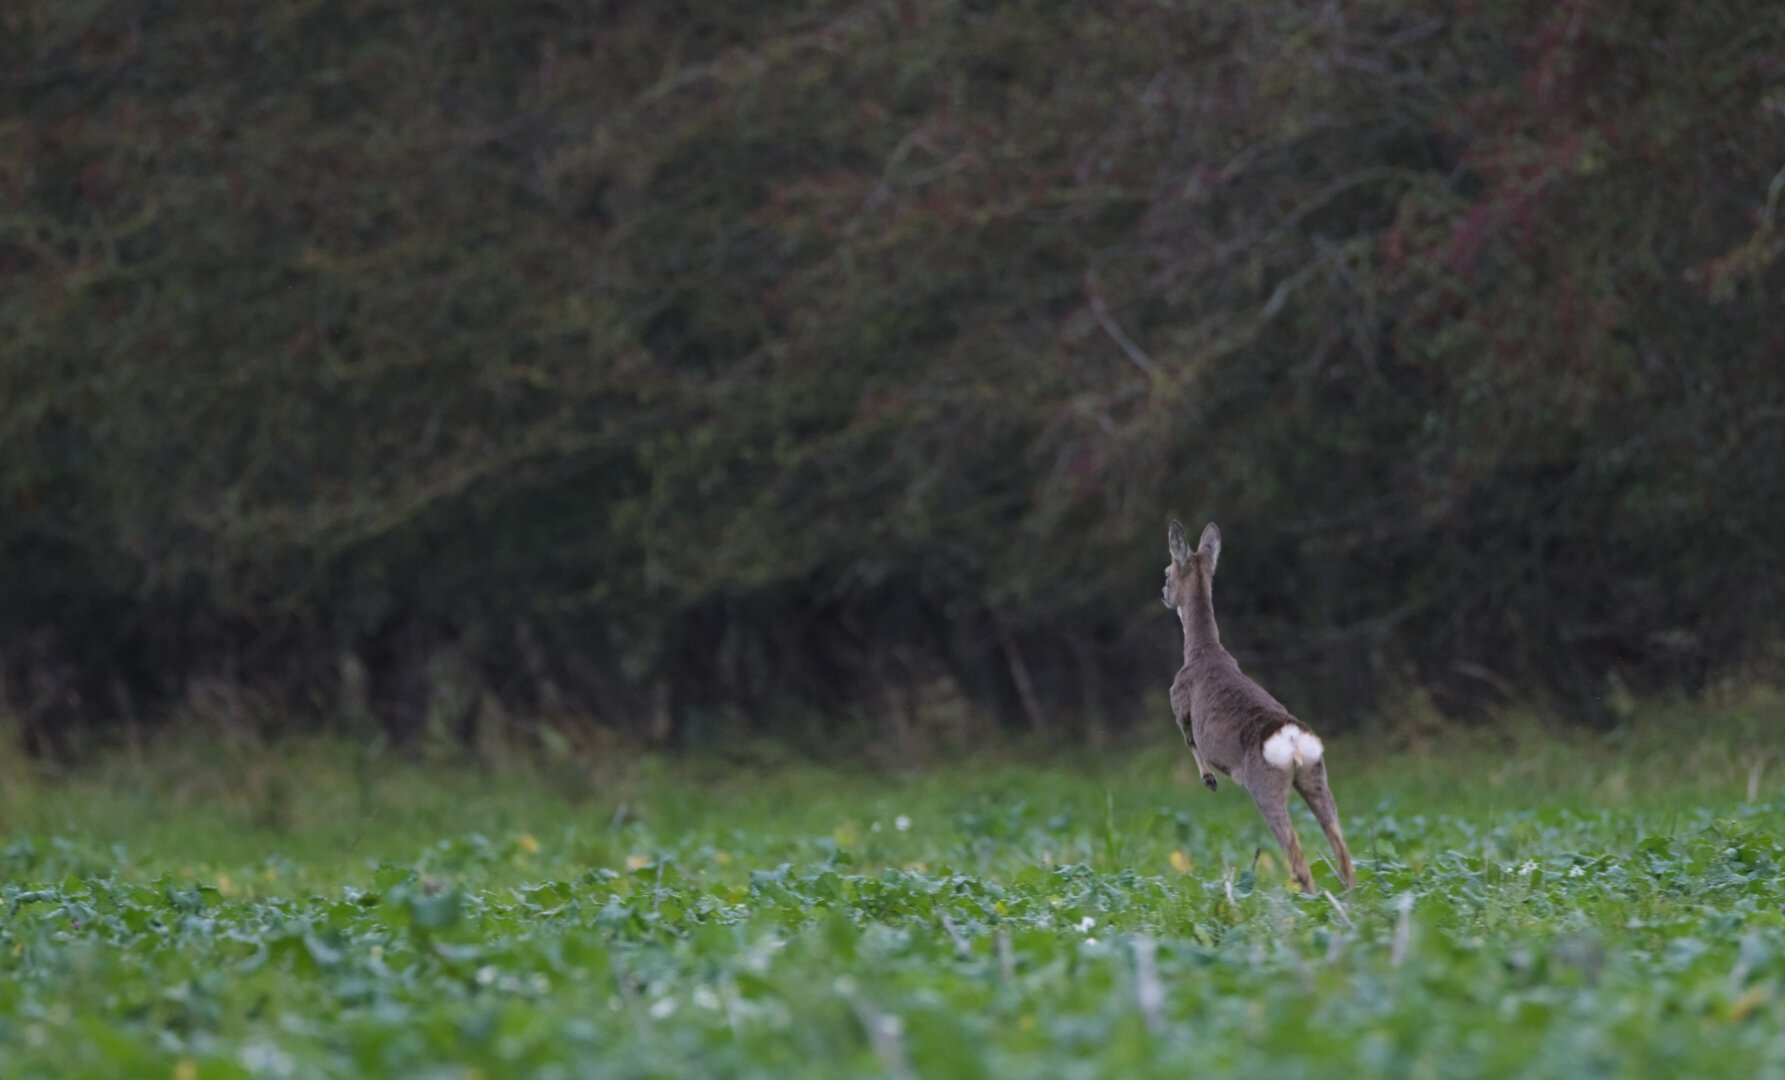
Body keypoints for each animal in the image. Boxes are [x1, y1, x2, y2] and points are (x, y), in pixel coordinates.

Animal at [1163, 517, 1356, 888]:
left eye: (1166, 573)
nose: (1162, 592)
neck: (1202, 650)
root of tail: (1292, 742)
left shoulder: (1179, 702)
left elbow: (1190, 740)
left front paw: (1209, 779)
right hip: (1315, 776)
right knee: (1342, 849)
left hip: (1265, 785)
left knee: (1298, 857)